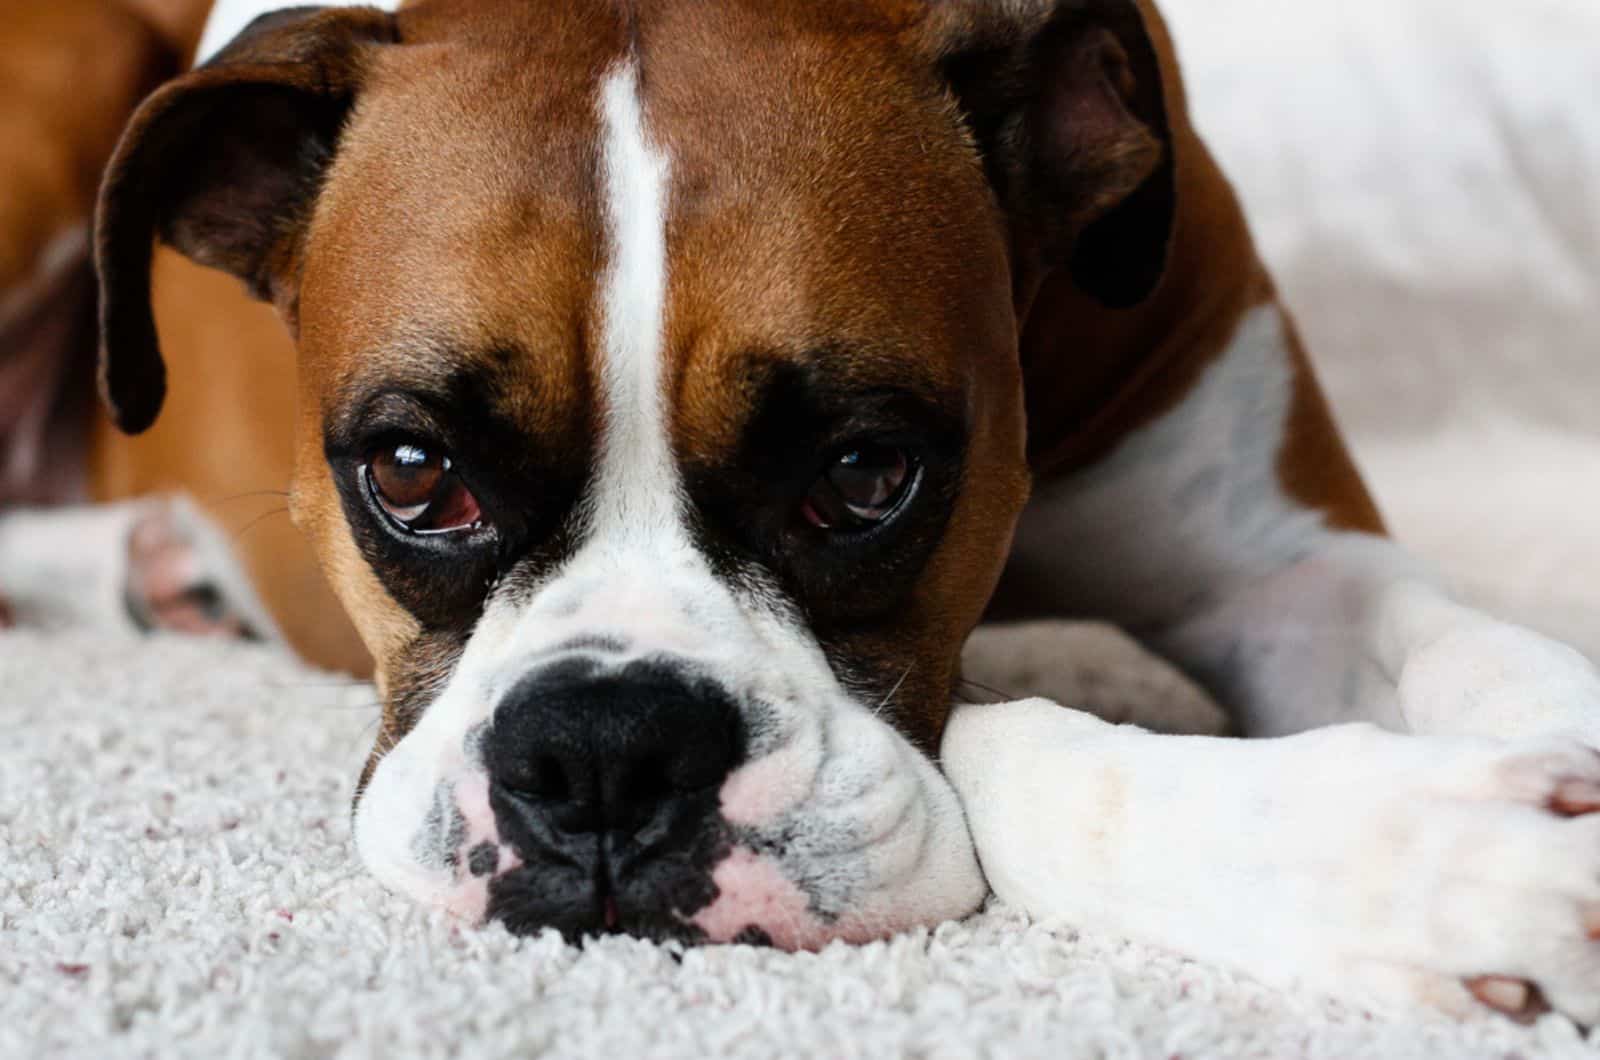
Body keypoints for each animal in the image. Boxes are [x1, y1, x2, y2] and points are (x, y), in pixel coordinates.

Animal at [3, 0, 1600, 1024]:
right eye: (409, 471)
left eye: (863, 475)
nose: (603, 752)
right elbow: (1011, 744)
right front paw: (1446, 860)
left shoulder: (1285, 572)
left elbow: (1473, 647)